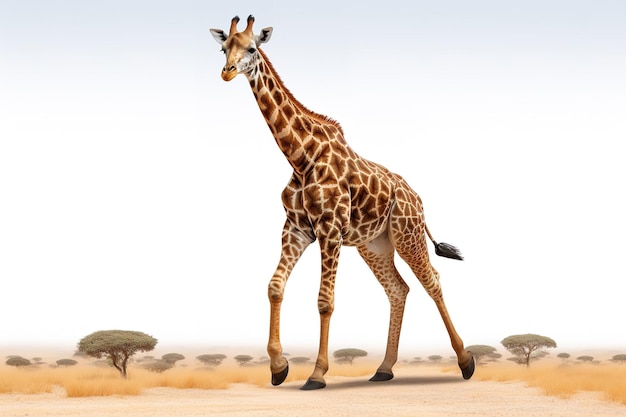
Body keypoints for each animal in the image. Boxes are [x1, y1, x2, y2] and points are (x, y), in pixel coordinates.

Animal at [210, 14, 472, 388]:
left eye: (252, 48)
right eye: (223, 48)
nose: (228, 71)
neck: (301, 158)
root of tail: (418, 199)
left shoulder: (330, 228)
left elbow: (325, 301)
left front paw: (317, 374)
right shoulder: (296, 228)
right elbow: (275, 287)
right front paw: (278, 367)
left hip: (407, 234)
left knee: (432, 281)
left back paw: (466, 361)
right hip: (374, 245)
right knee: (398, 289)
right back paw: (384, 368)